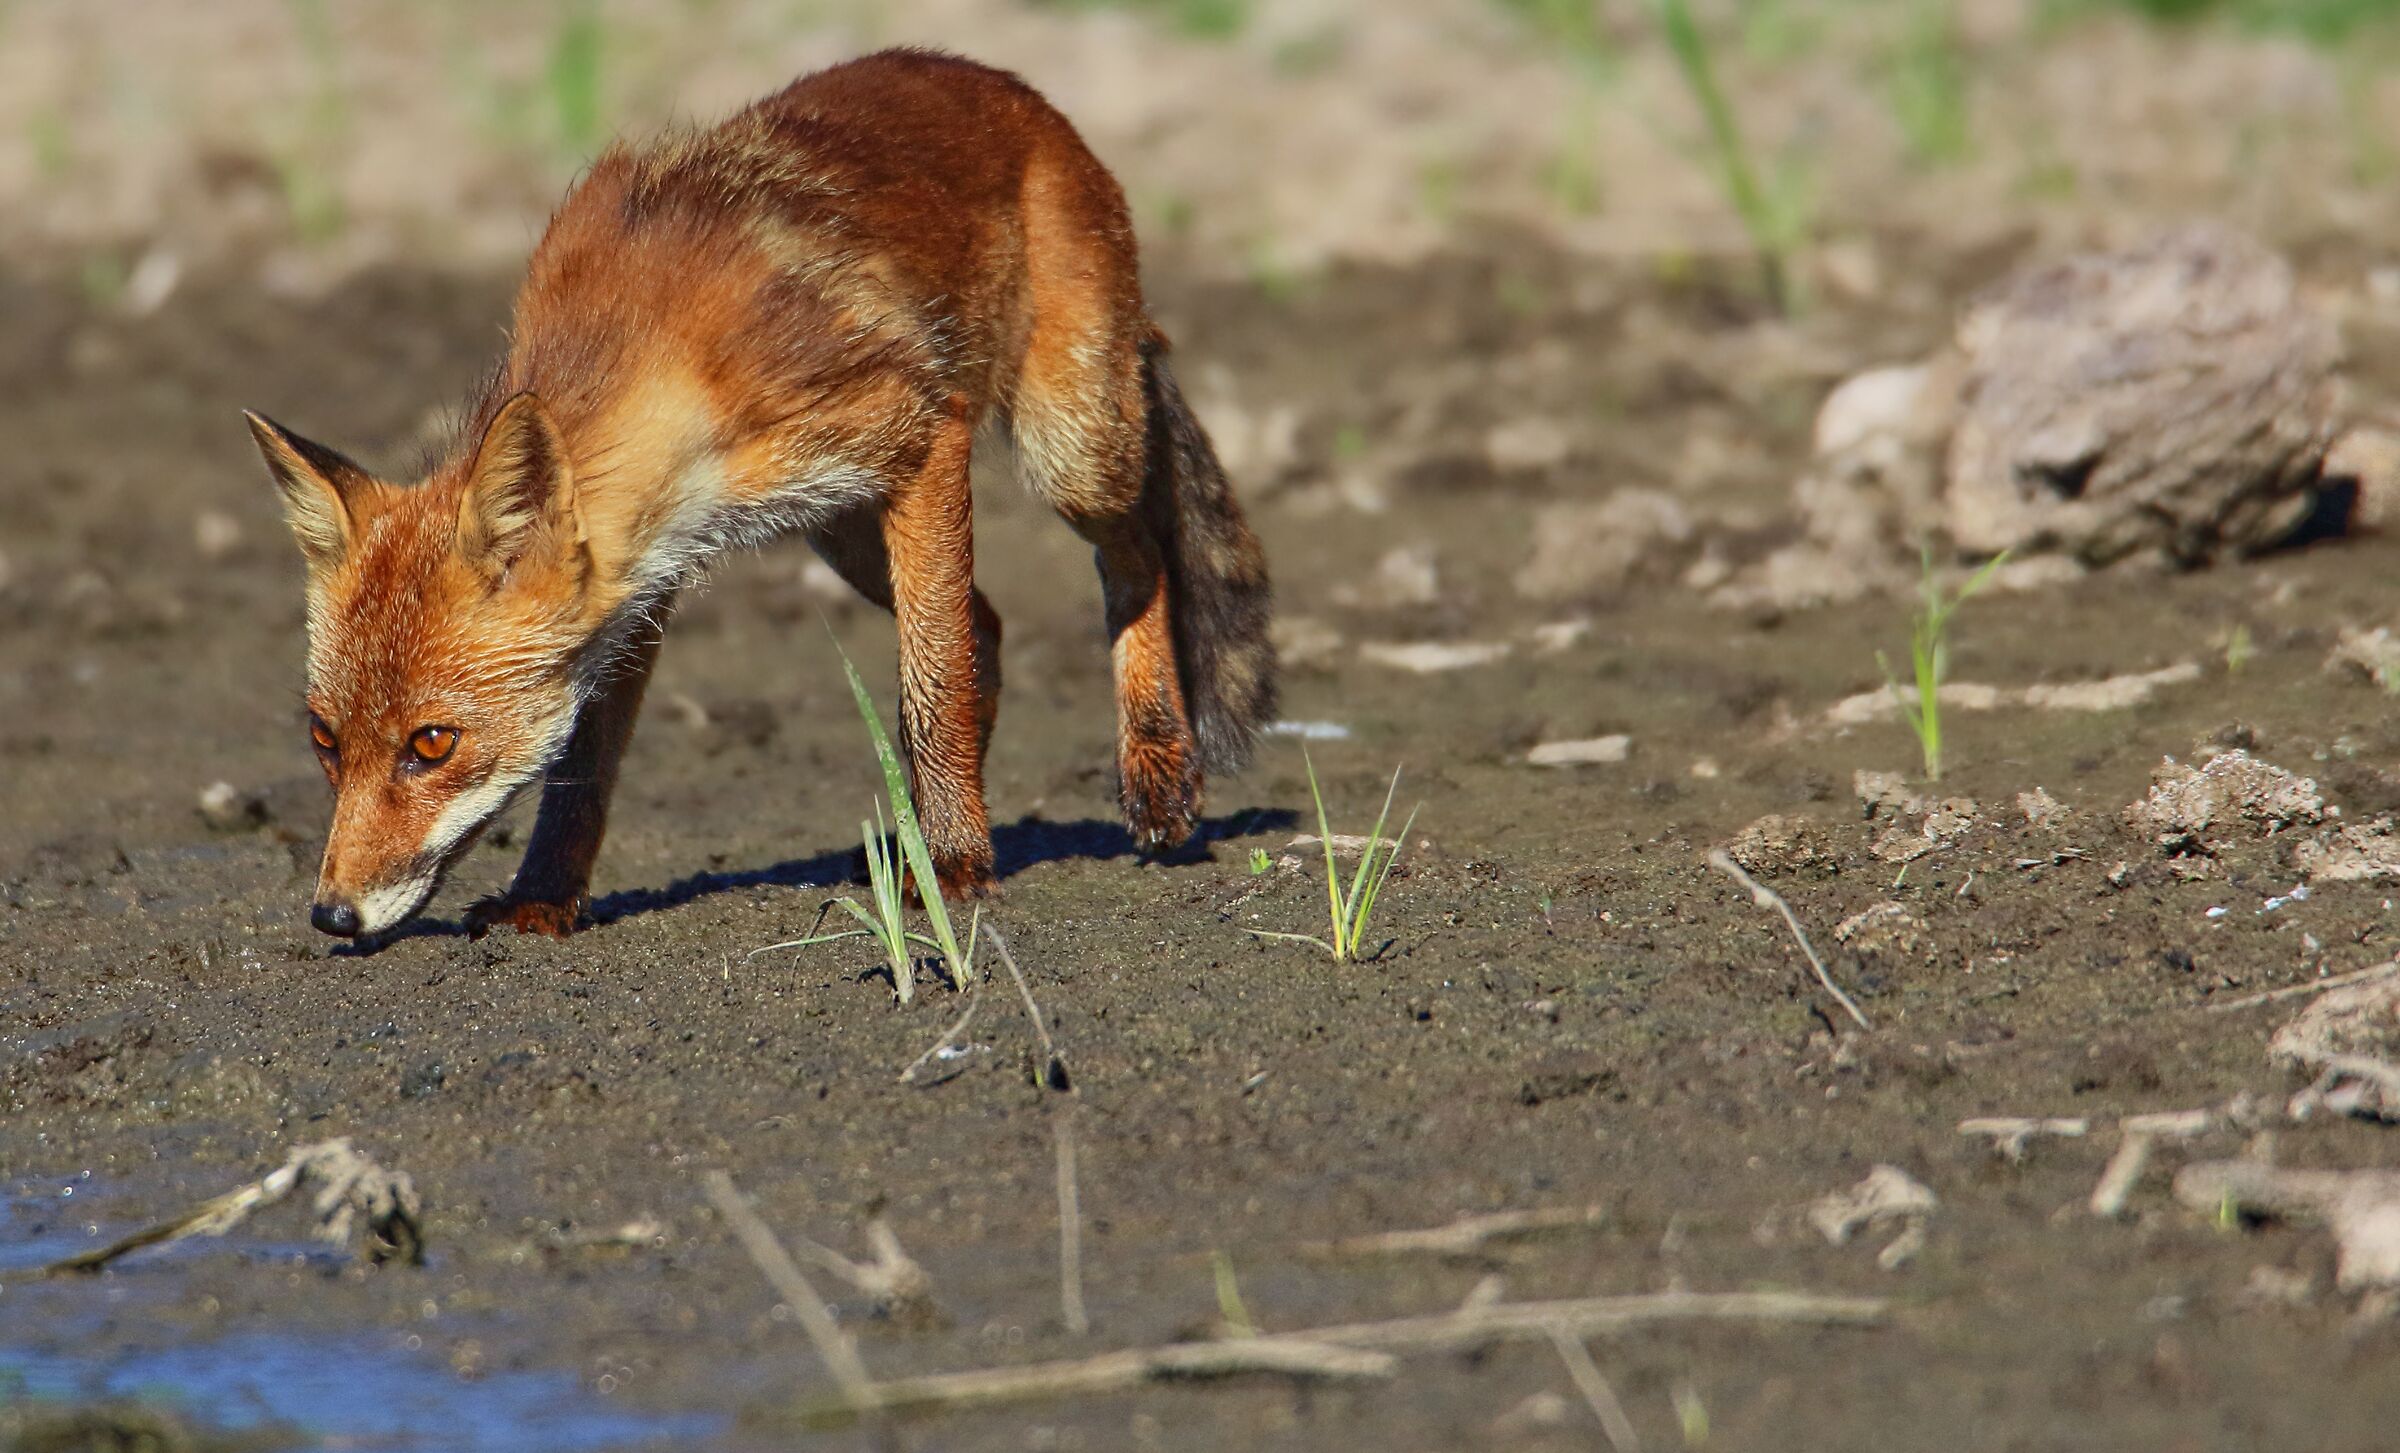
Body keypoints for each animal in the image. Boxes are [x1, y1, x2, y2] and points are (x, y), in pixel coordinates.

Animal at [245, 49, 1275, 942]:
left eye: (431, 743)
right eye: (324, 738)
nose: (331, 916)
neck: (667, 351)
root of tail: (1012, 89)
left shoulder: (921, 432)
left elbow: (929, 688)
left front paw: (951, 870)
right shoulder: (643, 574)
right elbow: (584, 764)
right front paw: (545, 897)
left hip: (1069, 448)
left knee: (1133, 554)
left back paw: (1151, 765)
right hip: (844, 532)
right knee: (986, 625)